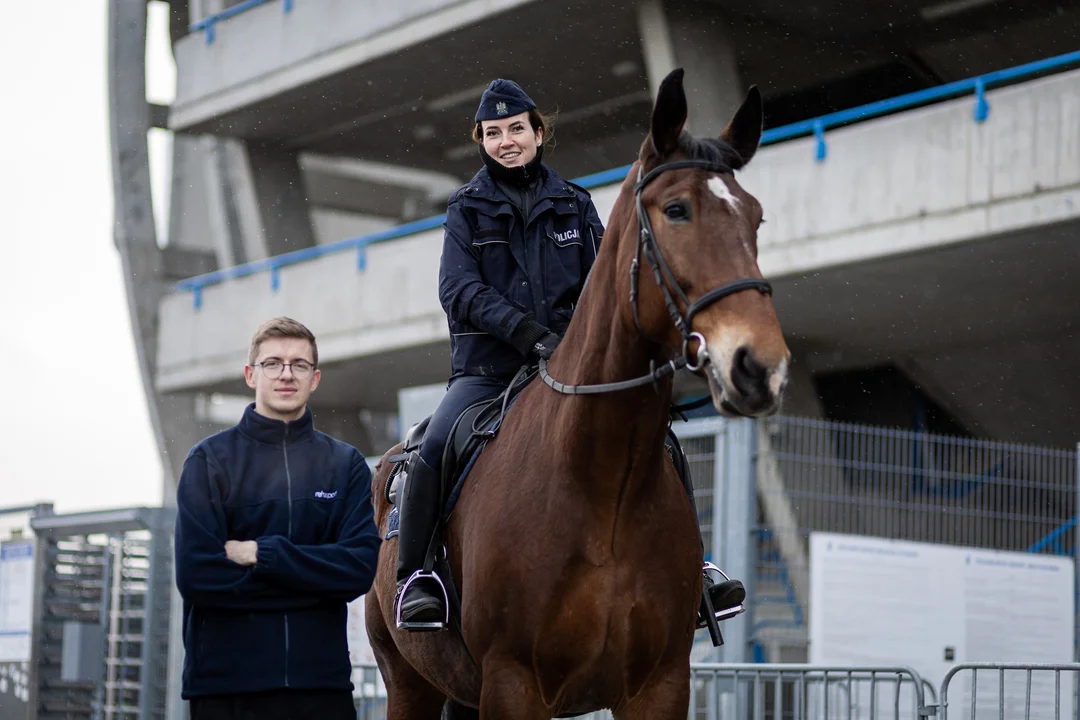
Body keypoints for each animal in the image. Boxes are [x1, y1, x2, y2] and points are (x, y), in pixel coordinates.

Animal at [367, 69, 790, 720]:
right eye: (676, 210)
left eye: (757, 219)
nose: (759, 366)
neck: (602, 490)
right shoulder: (513, 684)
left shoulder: (659, 685)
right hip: (409, 684)